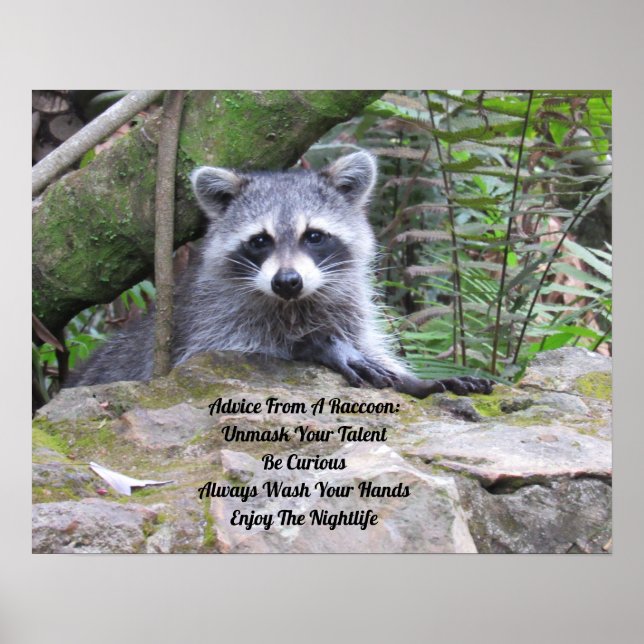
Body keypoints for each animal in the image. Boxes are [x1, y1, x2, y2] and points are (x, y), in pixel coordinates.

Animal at [68, 151, 492, 398]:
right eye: (260, 241)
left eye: (314, 236)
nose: (287, 281)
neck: (294, 303)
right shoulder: (207, 318)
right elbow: (226, 350)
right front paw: (318, 344)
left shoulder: (348, 307)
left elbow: (369, 345)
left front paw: (415, 380)